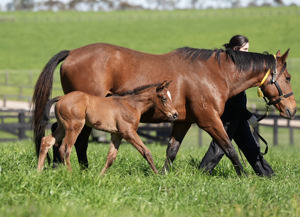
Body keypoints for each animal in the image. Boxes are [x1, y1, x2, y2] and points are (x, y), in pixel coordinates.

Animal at [37, 80, 178, 174]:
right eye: (164, 98)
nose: (175, 114)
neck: (131, 105)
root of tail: (62, 97)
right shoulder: (128, 132)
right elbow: (146, 152)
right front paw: (157, 175)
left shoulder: (117, 134)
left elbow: (111, 157)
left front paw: (100, 176)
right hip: (74, 127)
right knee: (65, 148)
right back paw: (70, 173)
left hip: (62, 127)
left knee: (46, 141)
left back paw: (38, 171)